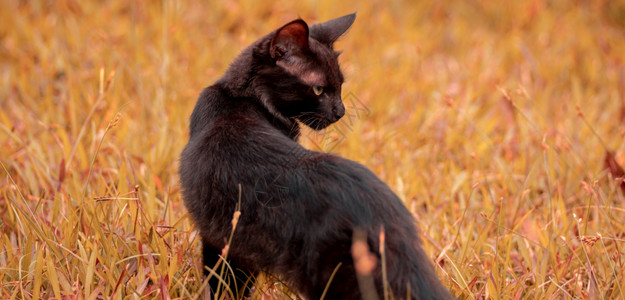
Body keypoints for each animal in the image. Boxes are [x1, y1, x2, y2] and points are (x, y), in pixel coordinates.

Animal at [178, 12, 450, 298]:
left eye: (340, 86)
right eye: (319, 89)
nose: (341, 111)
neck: (239, 97)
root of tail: (378, 211)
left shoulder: (219, 237)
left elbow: (222, 282)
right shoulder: (232, 241)